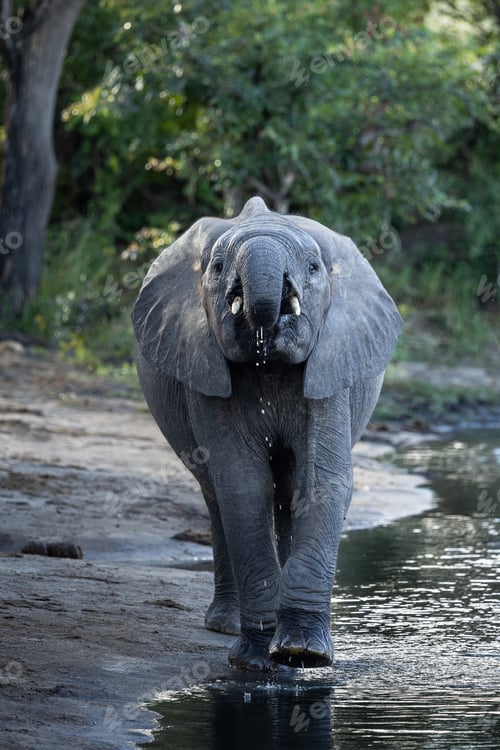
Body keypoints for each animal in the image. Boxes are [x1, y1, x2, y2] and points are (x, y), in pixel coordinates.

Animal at [132, 197, 402, 671]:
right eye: (217, 266)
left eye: (313, 267)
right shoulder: (205, 367)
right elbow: (243, 486)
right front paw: (255, 661)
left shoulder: (330, 365)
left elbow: (322, 482)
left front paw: (302, 653)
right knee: (218, 495)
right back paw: (226, 625)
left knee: (289, 488)